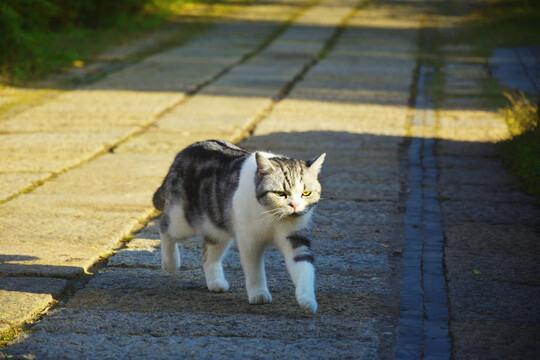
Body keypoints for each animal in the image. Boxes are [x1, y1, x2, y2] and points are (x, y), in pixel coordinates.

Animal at [154, 139, 326, 314]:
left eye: (306, 193)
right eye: (280, 194)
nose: (295, 205)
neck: (274, 218)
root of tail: (184, 151)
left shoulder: (296, 238)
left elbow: (304, 269)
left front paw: (307, 301)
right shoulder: (249, 240)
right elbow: (254, 270)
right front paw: (259, 294)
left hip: (218, 228)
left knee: (209, 255)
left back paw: (216, 282)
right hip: (184, 221)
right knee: (165, 228)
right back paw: (170, 264)